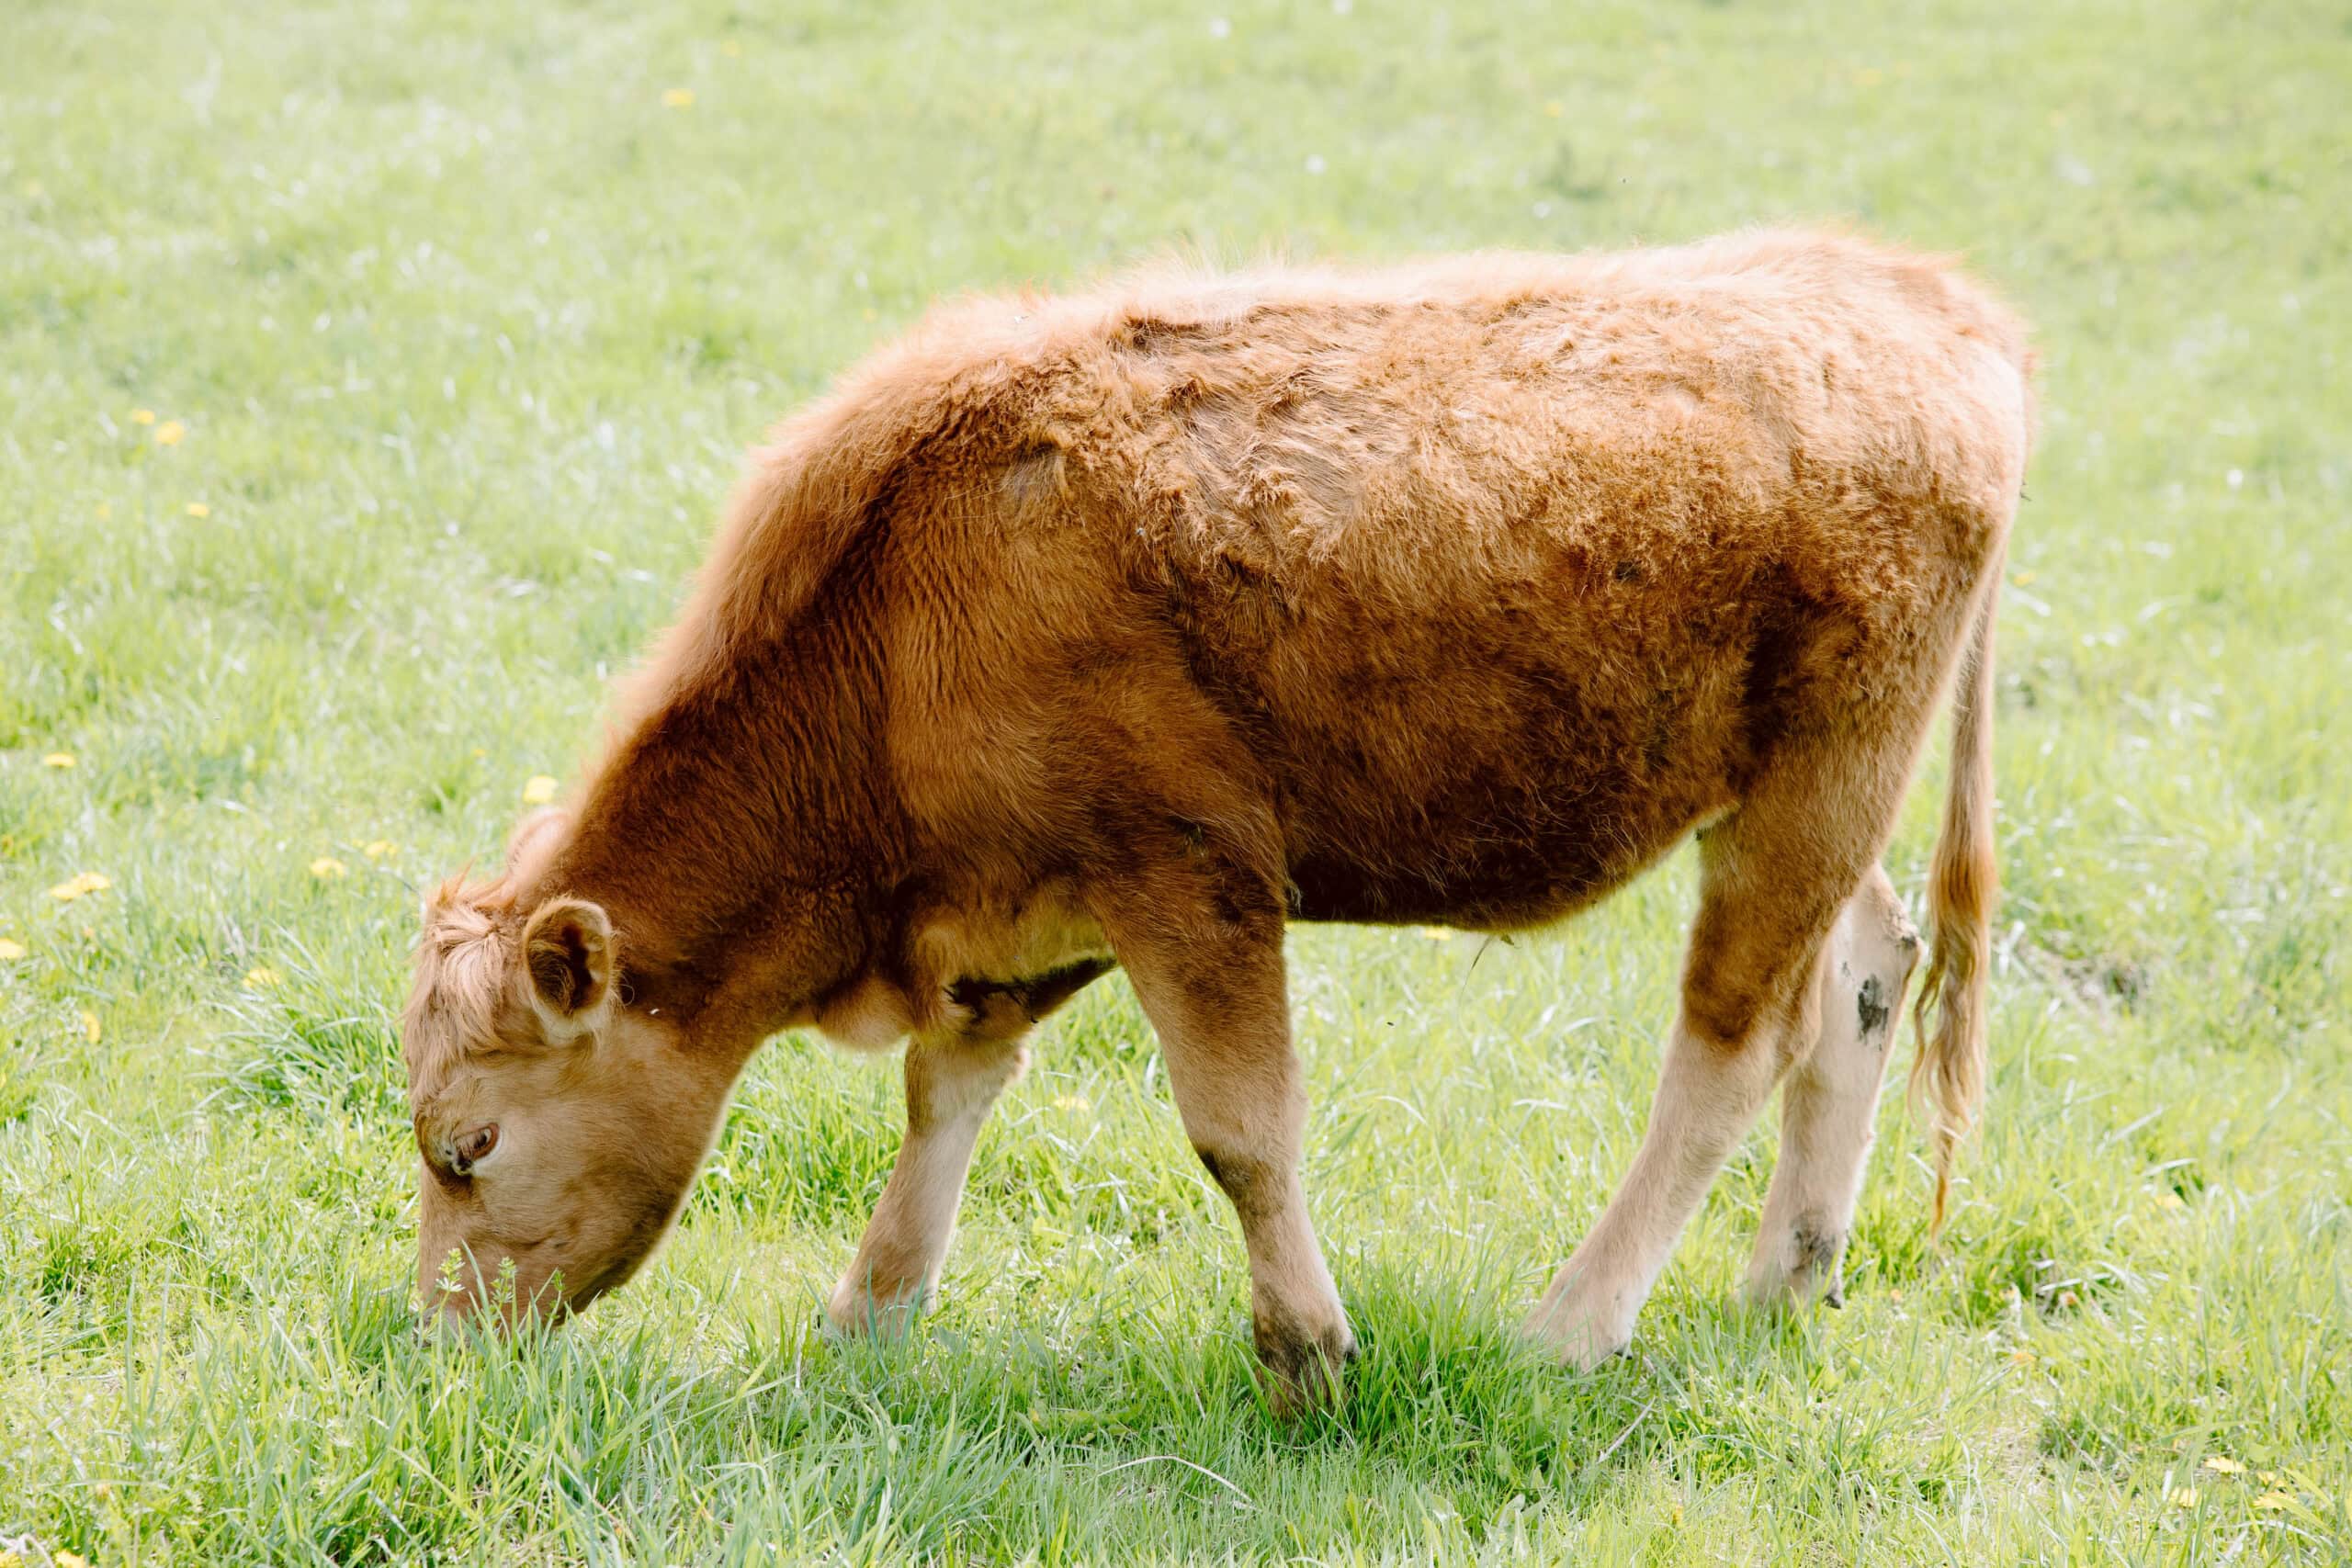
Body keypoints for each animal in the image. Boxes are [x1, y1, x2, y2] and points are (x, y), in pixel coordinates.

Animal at [400, 227, 2030, 1412]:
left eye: (469, 1143)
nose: (435, 1341)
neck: (903, 600)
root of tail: (1923, 299)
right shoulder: (1018, 906)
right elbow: (947, 1089)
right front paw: (869, 1311)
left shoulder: (1189, 877)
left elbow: (1241, 1130)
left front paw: (1307, 1353)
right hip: (1795, 799)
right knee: (1865, 972)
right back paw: (1787, 1279)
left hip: (1816, 784)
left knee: (1737, 1041)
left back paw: (1570, 1325)